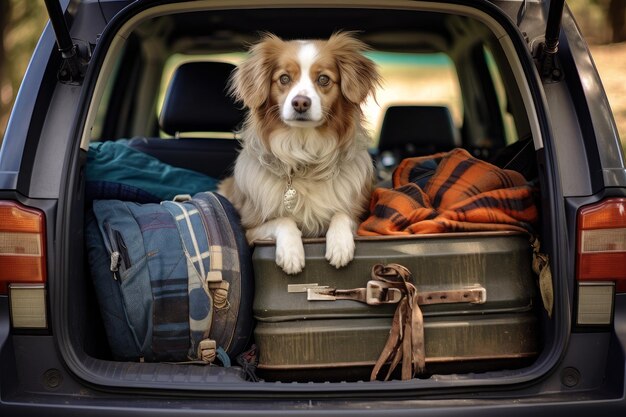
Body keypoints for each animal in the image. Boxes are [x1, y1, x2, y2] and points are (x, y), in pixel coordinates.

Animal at [219, 32, 380, 272]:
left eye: (323, 79)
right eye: (284, 78)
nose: (301, 103)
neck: (303, 152)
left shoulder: (360, 217)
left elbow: (341, 214)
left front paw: (340, 245)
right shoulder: (251, 229)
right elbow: (283, 220)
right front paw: (291, 253)